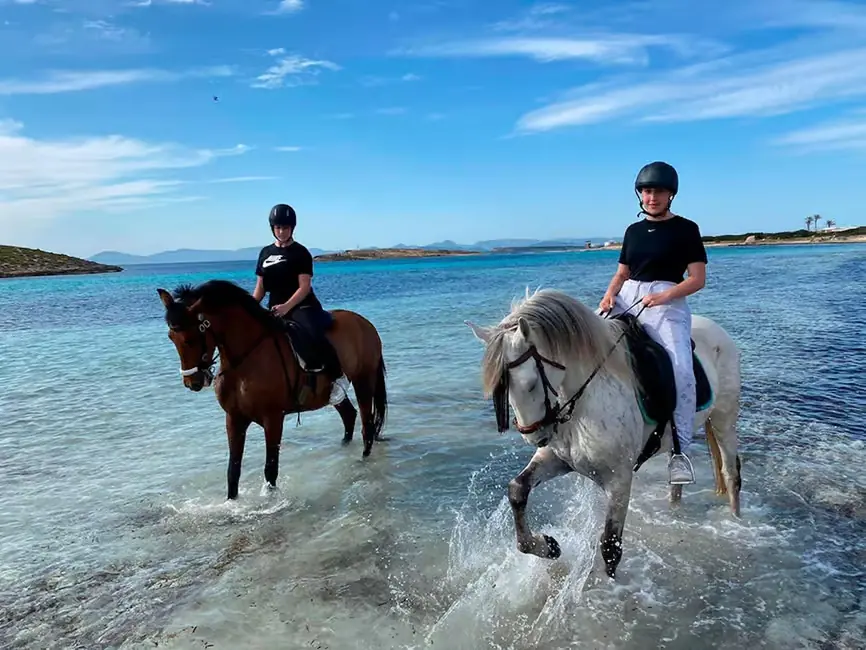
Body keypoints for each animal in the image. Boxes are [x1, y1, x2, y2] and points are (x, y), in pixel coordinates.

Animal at [156, 279, 388, 500]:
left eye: (190, 339)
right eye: (170, 337)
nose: (192, 382)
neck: (245, 361)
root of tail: (365, 323)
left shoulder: (273, 419)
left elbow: (270, 469)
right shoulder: (234, 419)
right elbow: (233, 471)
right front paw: (232, 502)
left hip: (363, 380)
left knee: (367, 425)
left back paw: (363, 461)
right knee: (349, 415)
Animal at [465, 288, 742, 579]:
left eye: (530, 384)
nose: (535, 436)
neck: (586, 398)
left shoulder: (619, 480)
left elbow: (610, 546)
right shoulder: (557, 459)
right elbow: (517, 490)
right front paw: (547, 545)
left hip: (724, 420)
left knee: (731, 473)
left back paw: (735, 521)